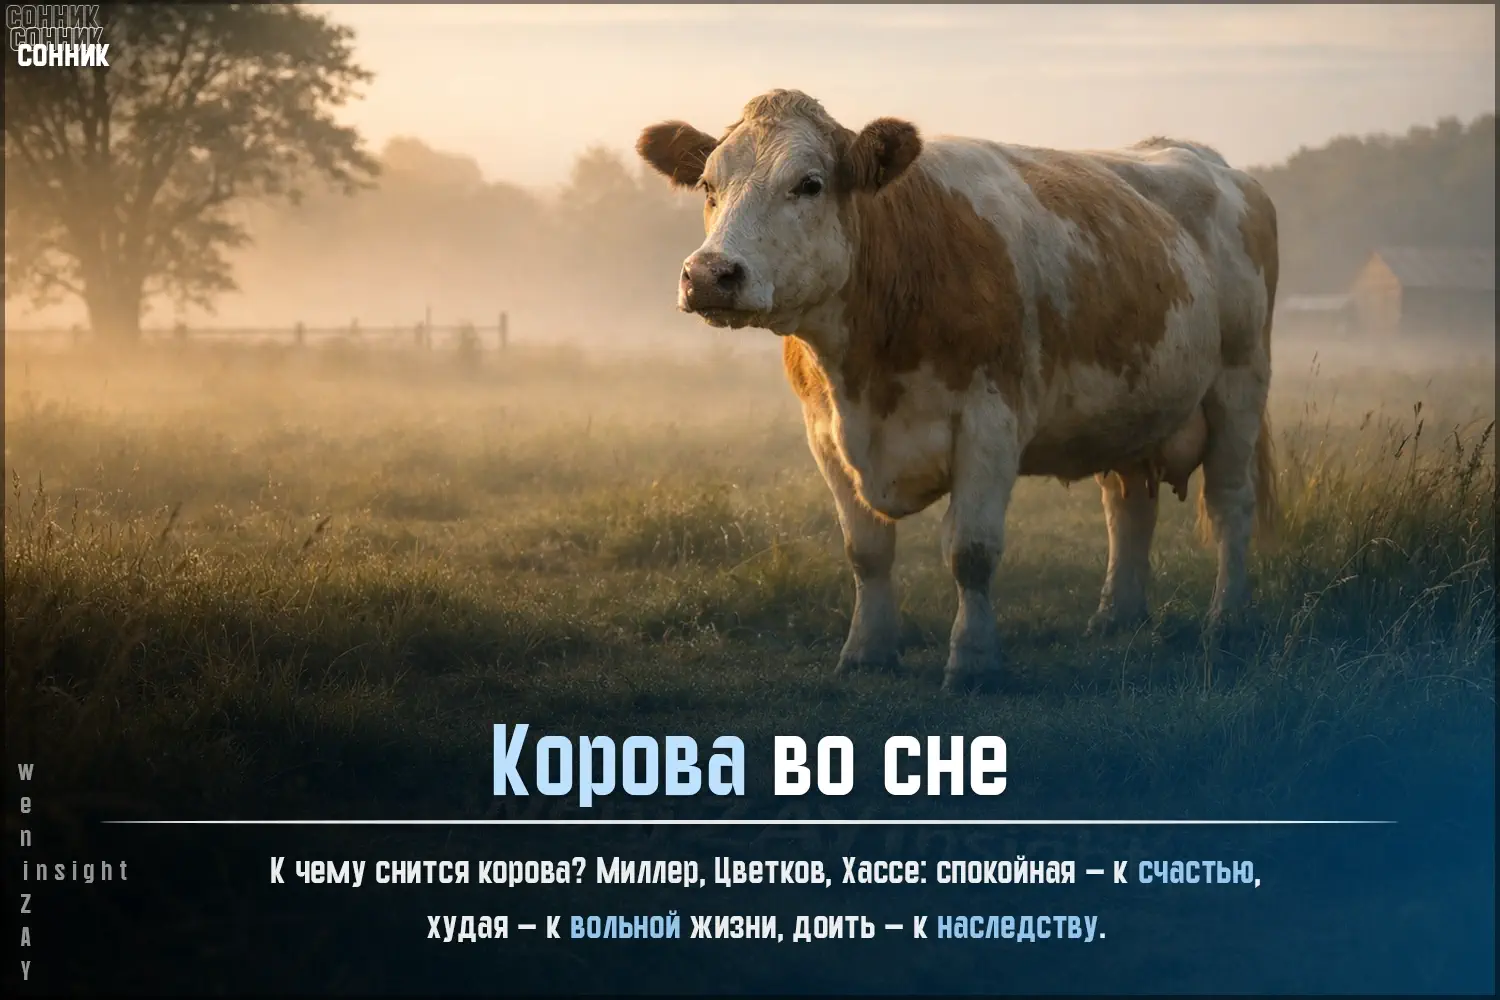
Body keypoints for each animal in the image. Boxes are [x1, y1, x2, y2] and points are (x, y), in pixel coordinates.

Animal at [636, 89, 1278, 692]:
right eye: (708, 185)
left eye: (809, 184)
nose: (709, 274)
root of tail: (1213, 162)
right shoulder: (824, 434)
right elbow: (866, 551)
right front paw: (867, 652)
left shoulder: (990, 422)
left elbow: (970, 552)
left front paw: (973, 662)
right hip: (1132, 409)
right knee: (1128, 507)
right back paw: (1116, 617)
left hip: (1240, 382)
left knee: (1230, 502)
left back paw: (1227, 620)